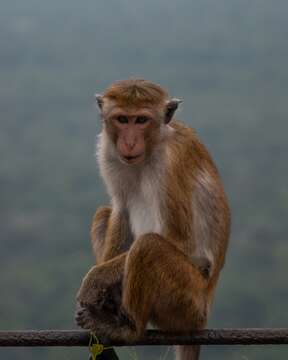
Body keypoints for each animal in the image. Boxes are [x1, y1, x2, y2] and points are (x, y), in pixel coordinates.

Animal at [75, 79, 231, 360]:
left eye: (141, 120)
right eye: (122, 119)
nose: (129, 143)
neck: (153, 147)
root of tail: (204, 315)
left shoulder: (171, 163)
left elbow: (182, 242)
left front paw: (96, 278)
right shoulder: (108, 153)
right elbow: (121, 210)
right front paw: (103, 293)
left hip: (188, 304)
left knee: (149, 246)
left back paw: (129, 329)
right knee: (103, 214)